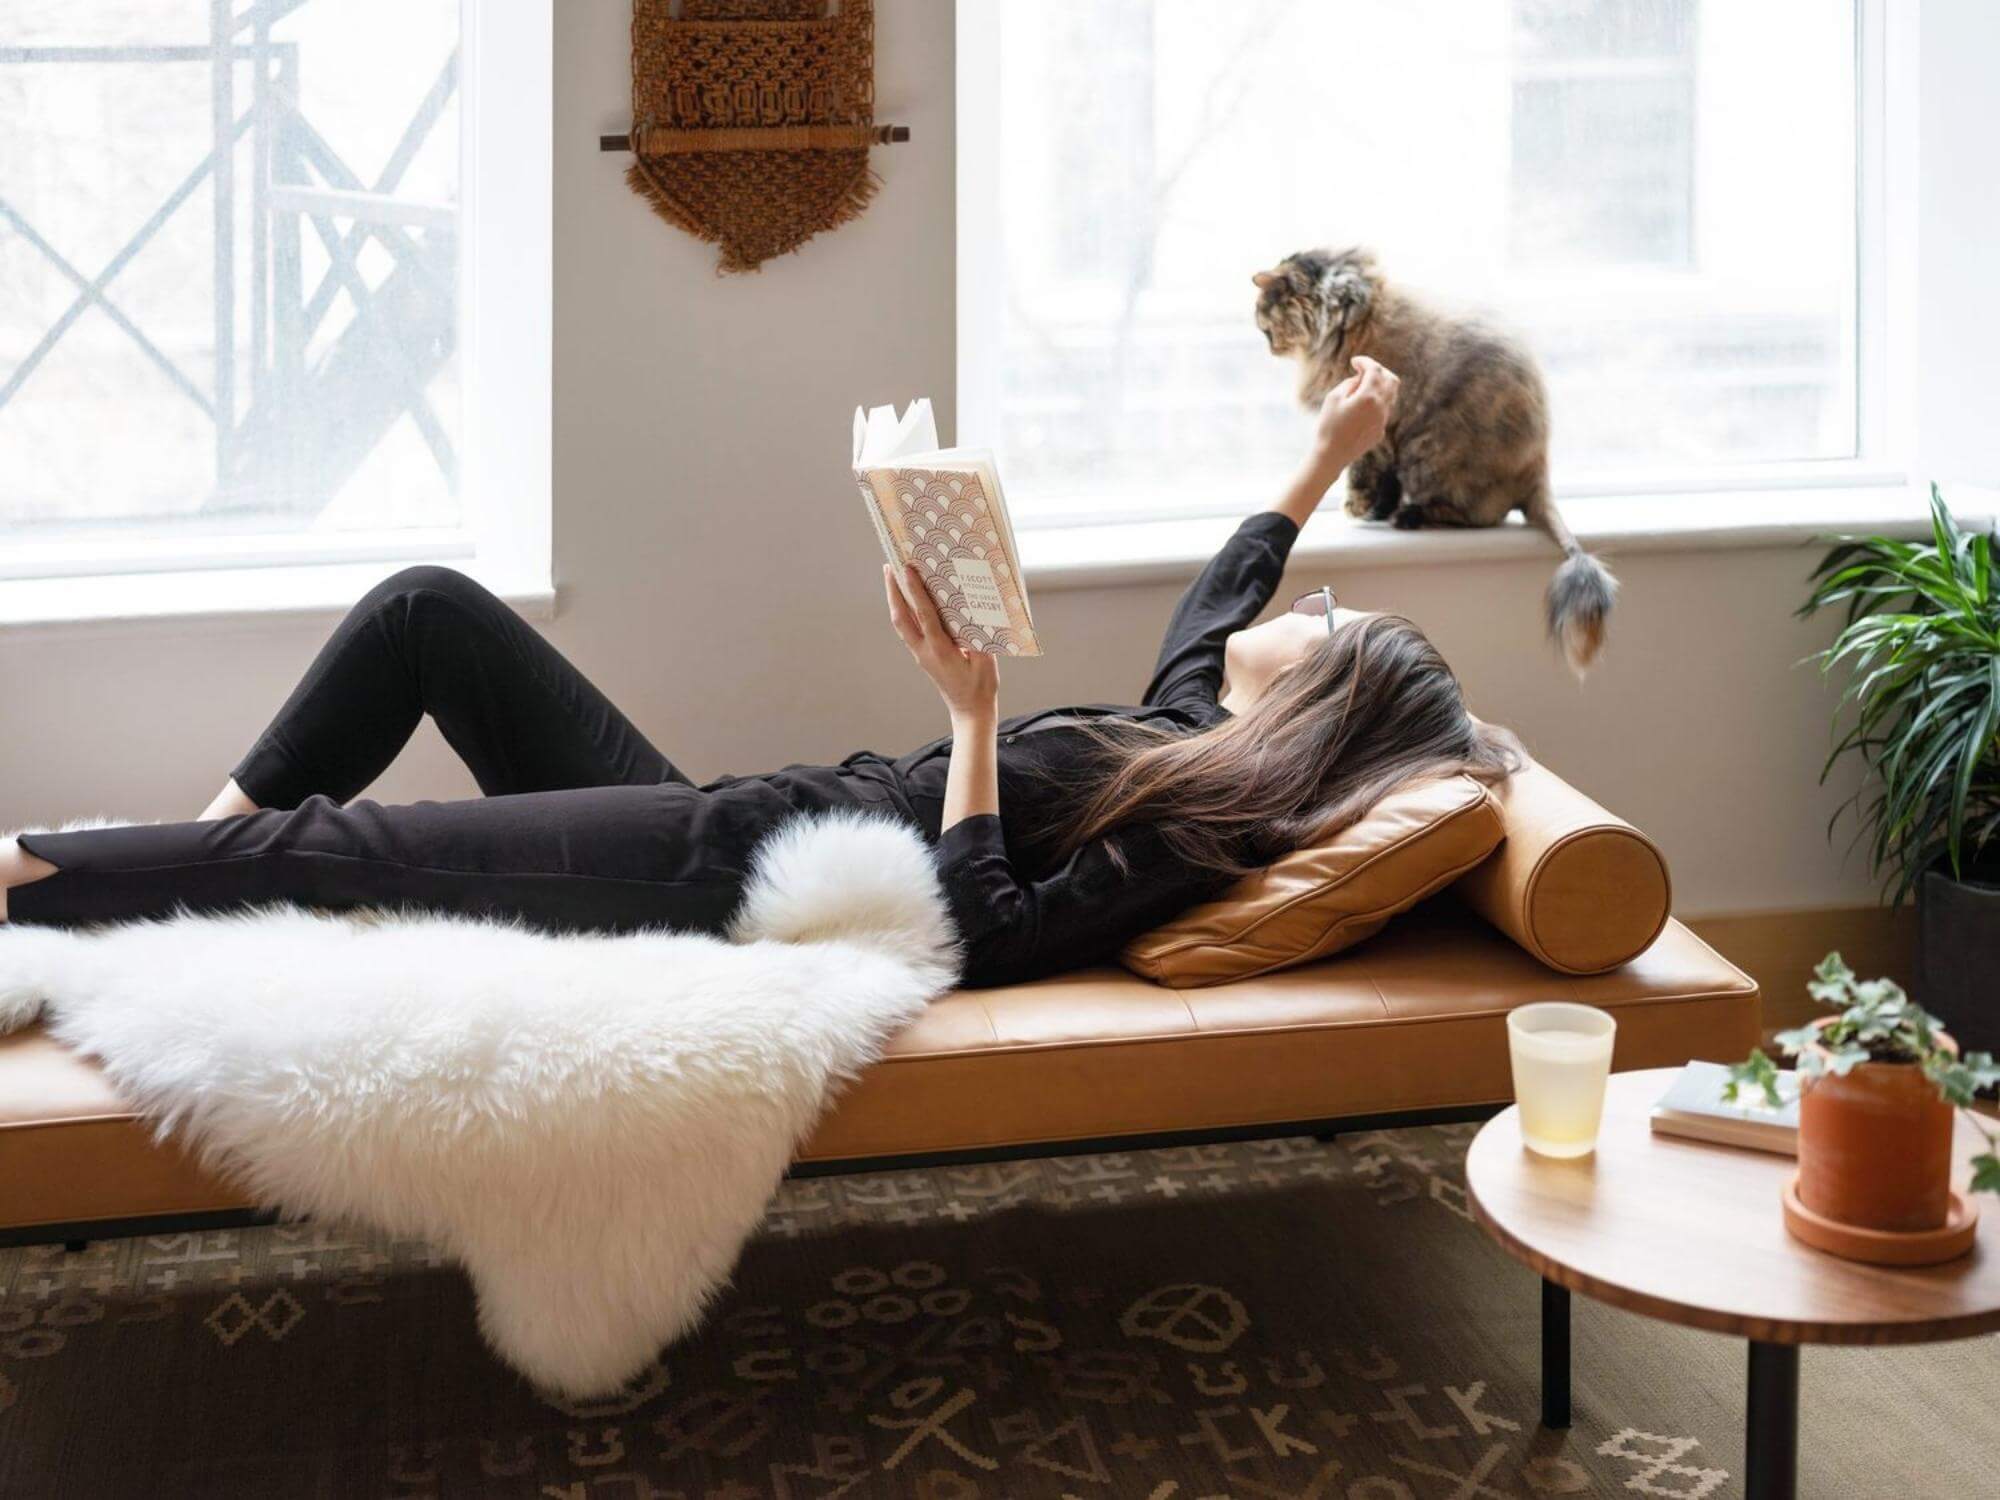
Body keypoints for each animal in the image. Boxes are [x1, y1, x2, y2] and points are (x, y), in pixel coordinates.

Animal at [1256, 250, 1616, 672]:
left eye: (1266, 320)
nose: (1268, 345)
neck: (1349, 309)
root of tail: (1539, 468)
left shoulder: (1377, 435)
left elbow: (1364, 477)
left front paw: (1360, 509)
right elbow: (1385, 485)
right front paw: (1374, 511)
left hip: (1429, 457)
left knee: (1480, 516)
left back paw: (1410, 516)